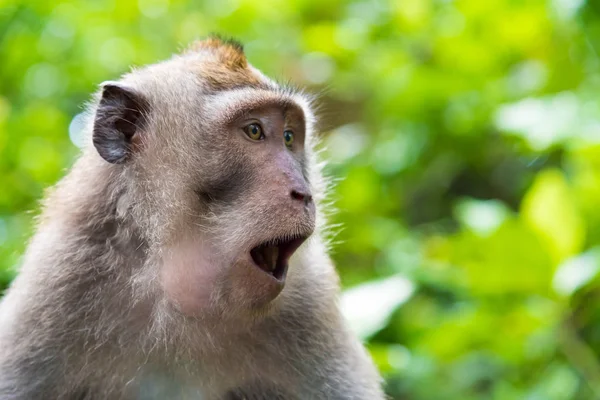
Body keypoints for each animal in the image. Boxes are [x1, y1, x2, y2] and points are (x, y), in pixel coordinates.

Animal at [0, 37, 384, 400]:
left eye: (289, 137)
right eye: (254, 131)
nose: (304, 193)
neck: (177, 299)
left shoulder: (309, 302)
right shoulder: (60, 281)